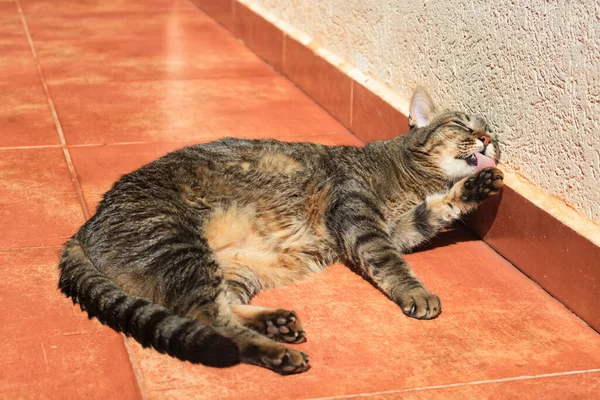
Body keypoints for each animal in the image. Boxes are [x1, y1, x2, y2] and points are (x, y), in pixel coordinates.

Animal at [59, 87, 502, 376]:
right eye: (461, 124)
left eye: (492, 133)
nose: (487, 138)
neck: (408, 177)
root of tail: (83, 227)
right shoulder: (359, 218)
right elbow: (390, 263)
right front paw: (417, 293)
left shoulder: (400, 227)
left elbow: (436, 211)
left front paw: (477, 187)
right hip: (177, 244)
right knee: (206, 316)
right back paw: (275, 351)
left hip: (234, 267)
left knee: (221, 306)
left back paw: (275, 324)